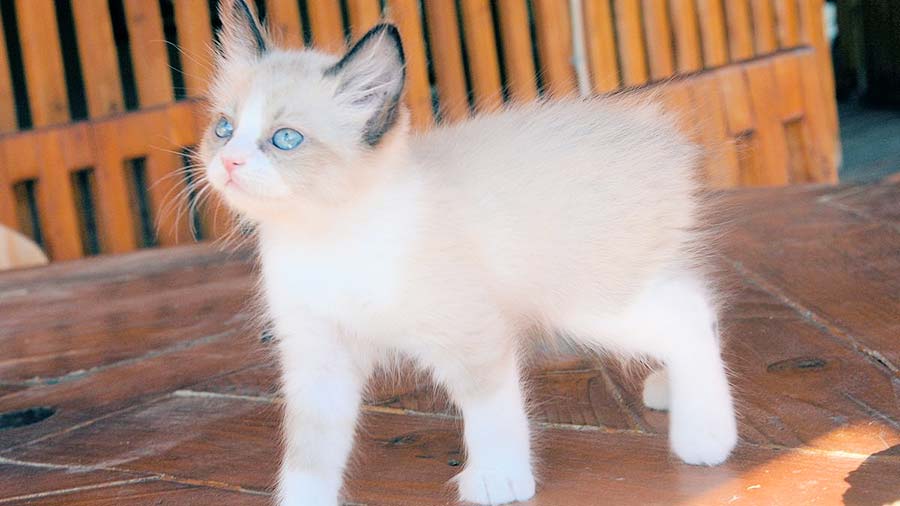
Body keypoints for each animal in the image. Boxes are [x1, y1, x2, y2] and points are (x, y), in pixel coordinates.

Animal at [202, 1, 740, 504]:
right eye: (224, 129)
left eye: (285, 139)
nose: (229, 161)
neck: (326, 235)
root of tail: (656, 132)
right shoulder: (318, 354)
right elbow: (310, 450)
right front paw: (302, 499)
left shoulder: (470, 329)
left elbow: (490, 410)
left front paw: (499, 477)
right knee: (691, 301)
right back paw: (676, 394)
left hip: (588, 301)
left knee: (689, 312)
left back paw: (706, 435)